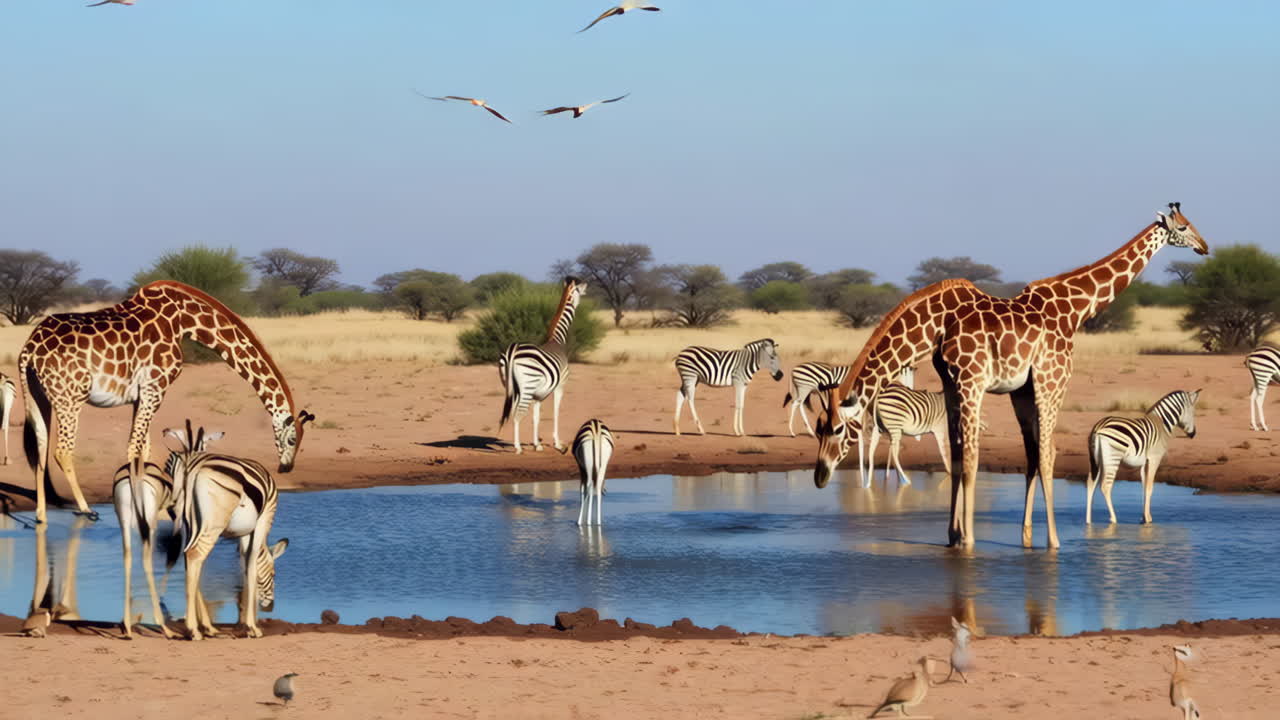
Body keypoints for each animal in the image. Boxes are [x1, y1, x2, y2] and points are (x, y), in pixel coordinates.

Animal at [18, 280, 314, 526]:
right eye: (292, 439)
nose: (286, 467)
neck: (184, 321)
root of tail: (29, 349)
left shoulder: (141, 395)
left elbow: (145, 450)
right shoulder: (155, 388)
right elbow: (134, 449)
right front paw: (143, 510)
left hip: (40, 396)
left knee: (41, 447)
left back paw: (41, 514)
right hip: (71, 396)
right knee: (62, 450)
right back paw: (85, 508)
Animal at [112, 428, 223, 639]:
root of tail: (135, 470)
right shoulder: (186, 523)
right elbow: (185, 558)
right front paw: (205, 626)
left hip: (125, 520)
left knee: (127, 558)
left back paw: (127, 626)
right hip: (150, 524)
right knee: (147, 561)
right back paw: (164, 627)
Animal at [167, 421, 288, 640]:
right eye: (274, 574)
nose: (270, 607)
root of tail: (191, 468)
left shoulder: (243, 535)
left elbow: (243, 567)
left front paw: (245, 621)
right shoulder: (263, 520)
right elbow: (252, 565)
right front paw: (252, 627)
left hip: (190, 525)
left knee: (189, 559)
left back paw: (203, 627)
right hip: (213, 524)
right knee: (195, 555)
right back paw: (193, 630)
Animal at [498, 277, 587, 453]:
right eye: (579, 290)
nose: (587, 286)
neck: (557, 340)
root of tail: (513, 350)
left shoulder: (537, 395)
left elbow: (536, 417)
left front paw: (537, 444)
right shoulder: (560, 385)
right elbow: (556, 412)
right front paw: (558, 444)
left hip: (512, 387)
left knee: (513, 412)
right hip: (527, 385)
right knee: (517, 414)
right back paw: (517, 448)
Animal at [1086, 389, 1200, 525]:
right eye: (1193, 413)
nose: (1193, 434)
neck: (1162, 424)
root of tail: (1100, 426)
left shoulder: (1145, 462)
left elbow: (1144, 487)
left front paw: (1144, 518)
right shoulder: (1155, 458)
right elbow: (1150, 487)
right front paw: (1148, 520)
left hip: (1096, 460)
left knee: (1090, 483)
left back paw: (1088, 521)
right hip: (1113, 457)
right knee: (1105, 486)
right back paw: (1113, 519)